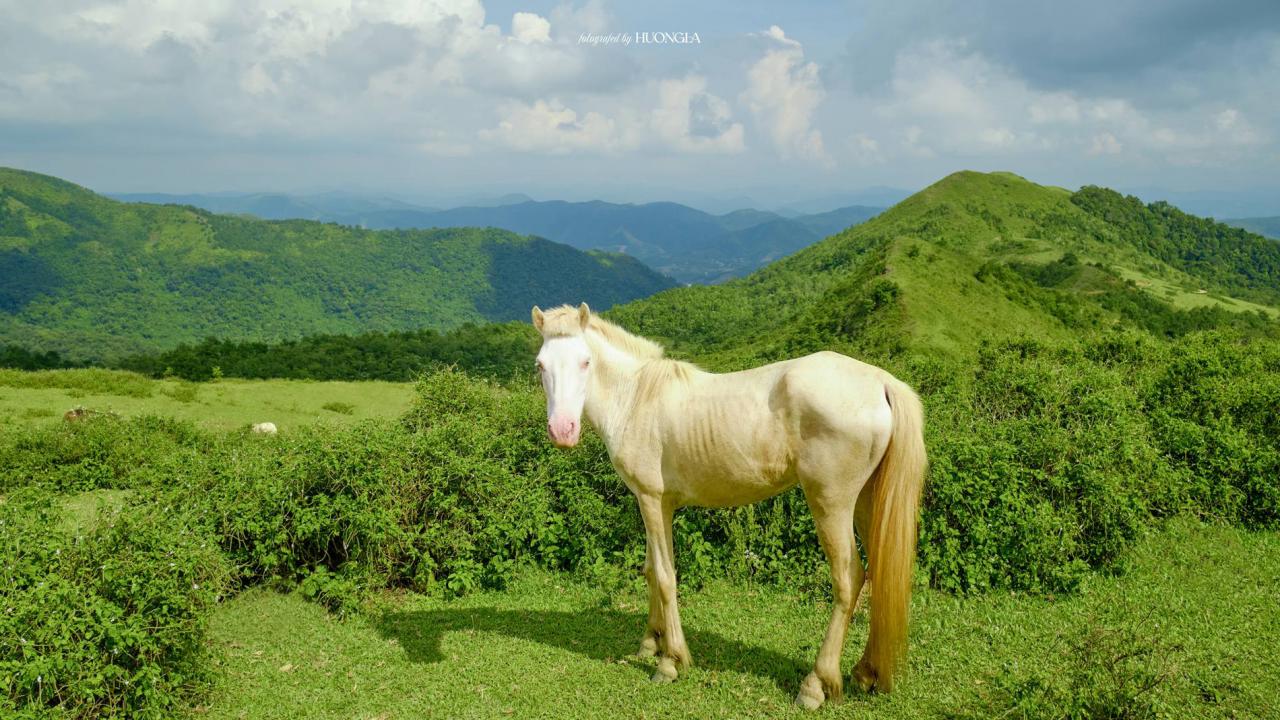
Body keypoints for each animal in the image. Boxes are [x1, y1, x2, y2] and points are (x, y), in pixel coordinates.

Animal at [532, 298, 931, 707]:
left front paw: (670, 662)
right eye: (541, 365)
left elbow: (665, 577)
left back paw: (816, 684)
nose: (562, 431)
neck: (635, 398)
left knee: (849, 579)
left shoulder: (652, 500)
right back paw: (866, 673)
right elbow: (651, 570)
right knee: (877, 573)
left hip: (831, 504)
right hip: (868, 503)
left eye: (585, 361)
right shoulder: (656, 505)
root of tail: (881, 382)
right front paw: (650, 643)